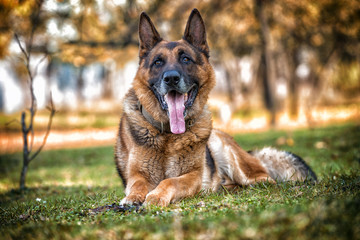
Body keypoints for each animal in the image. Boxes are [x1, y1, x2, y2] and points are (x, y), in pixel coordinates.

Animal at [114, 7, 316, 206]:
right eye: (158, 62)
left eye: (185, 59)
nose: (171, 78)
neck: (169, 135)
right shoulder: (137, 174)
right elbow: (137, 184)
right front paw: (133, 197)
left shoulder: (193, 176)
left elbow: (169, 181)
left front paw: (156, 195)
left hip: (229, 154)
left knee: (264, 178)